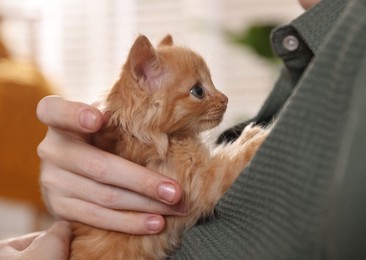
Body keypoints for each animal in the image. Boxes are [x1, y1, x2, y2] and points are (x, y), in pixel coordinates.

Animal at [69, 35, 268, 260]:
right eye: (198, 91)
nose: (225, 99)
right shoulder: (204, 180)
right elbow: (236, 160)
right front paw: (261, 137)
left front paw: (250, 134)